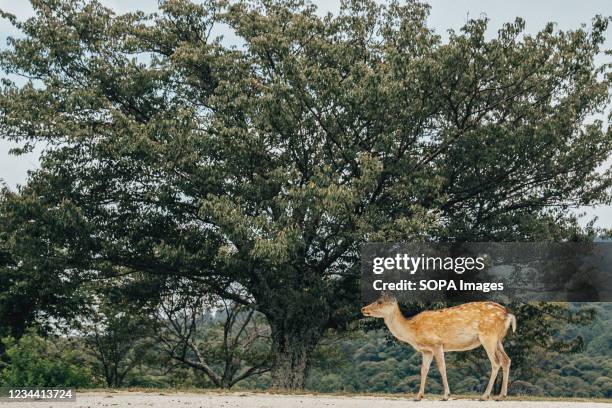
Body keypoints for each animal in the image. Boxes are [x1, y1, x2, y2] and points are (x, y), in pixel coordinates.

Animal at [364, 294, 516, 400]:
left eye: (380, 302)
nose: (363, 308)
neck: (413, 331)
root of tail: (509, 315)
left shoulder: (436, 343)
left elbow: (442, 368)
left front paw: (446, 395)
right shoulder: (426, 351)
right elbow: (423, 370)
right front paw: (418, 396)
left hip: (488, 336)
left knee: (496, 362)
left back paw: (485, 396)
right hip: (498, 339)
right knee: (506, 360)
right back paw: (501, 396)